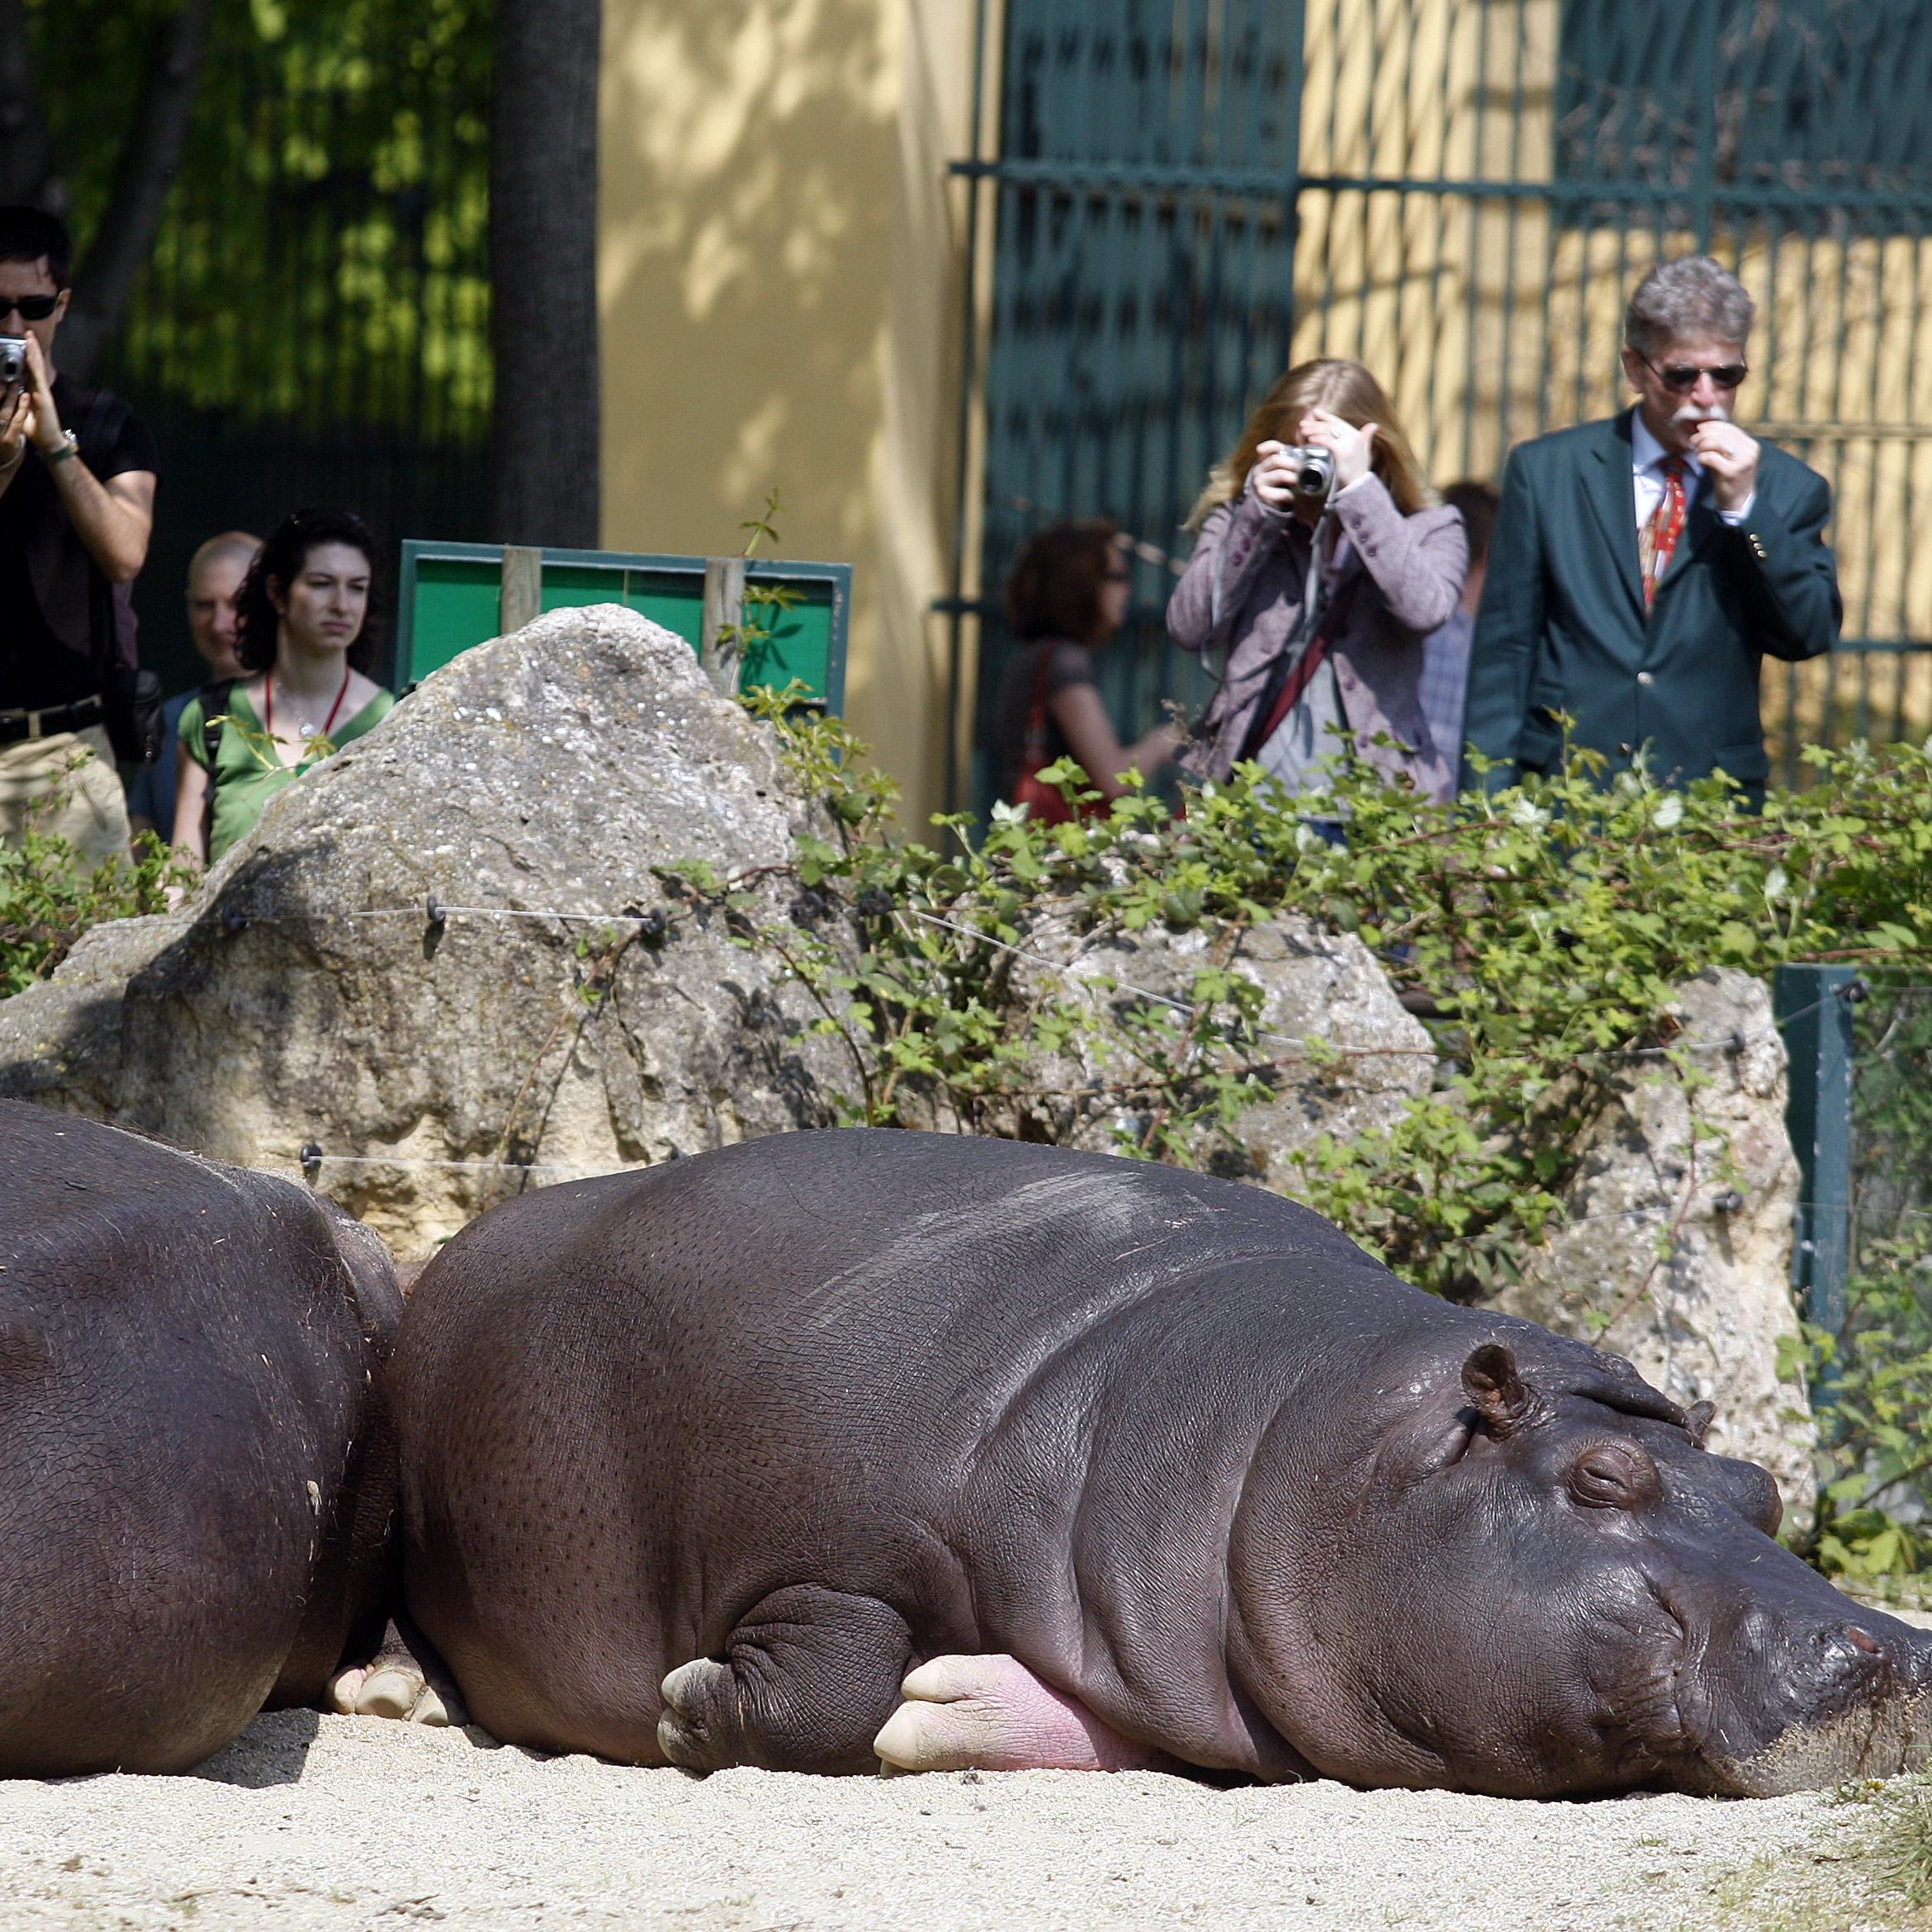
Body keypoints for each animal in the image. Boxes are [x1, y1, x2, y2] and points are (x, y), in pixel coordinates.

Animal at [388, 1130, 1932, 1796]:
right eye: (1603, 1482)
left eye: (1763, 1492)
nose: (1901, 1651)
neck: (1285, 1446)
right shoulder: (829, 1541)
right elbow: (825, 1677)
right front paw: (690, 1704)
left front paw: (943, 1706)